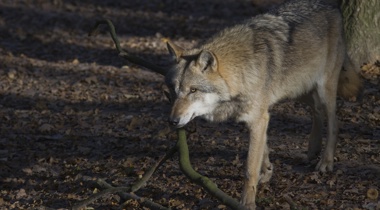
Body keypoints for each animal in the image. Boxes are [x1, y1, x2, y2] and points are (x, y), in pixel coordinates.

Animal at [164, 0, 362, 208]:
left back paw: (326, 161)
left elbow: (250, 168)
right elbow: (264, 148)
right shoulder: (259, 117)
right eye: (172, 89)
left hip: (324, 89)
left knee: (334, 122)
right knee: (316, 111)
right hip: (298, 89)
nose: (172, 121)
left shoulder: (258, 118)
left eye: (193, 90)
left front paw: (247, 202)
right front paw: (267, 171)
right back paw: (312, 149)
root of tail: (332, 6)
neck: (241, 71)